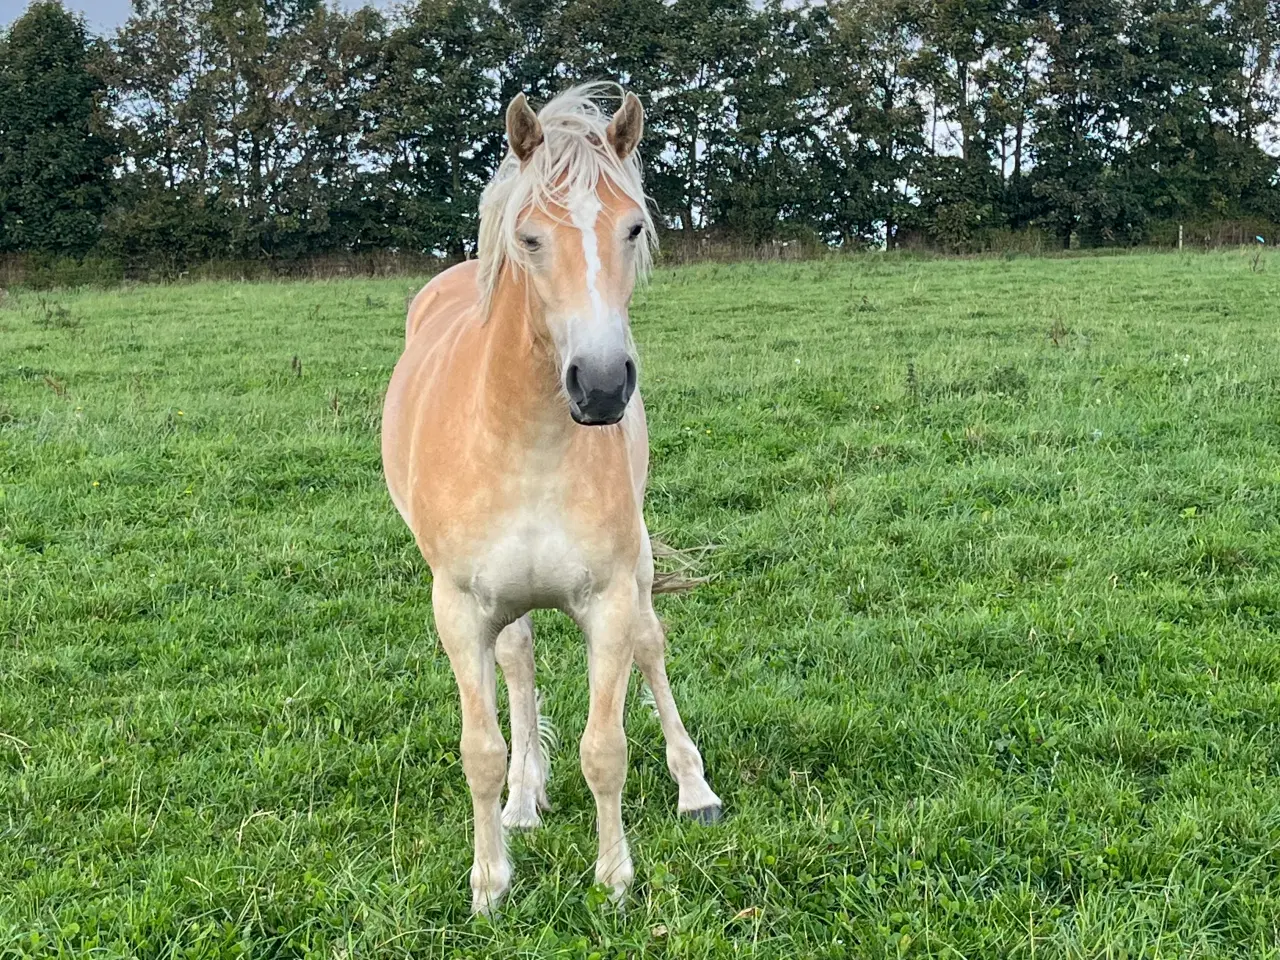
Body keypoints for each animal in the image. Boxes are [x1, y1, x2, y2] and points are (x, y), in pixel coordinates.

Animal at [378, 84, 721, 916]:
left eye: (632, 227)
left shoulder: (611, 599)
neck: (527, 441)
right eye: (530, 238)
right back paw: (523, 802)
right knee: (520, 662)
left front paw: (615, 878)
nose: (599, 385)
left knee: (653, 647)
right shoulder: (460, 610)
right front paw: (489, 883)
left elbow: (606, 748)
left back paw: (694, 788)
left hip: (635, 574)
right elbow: (480, 748)